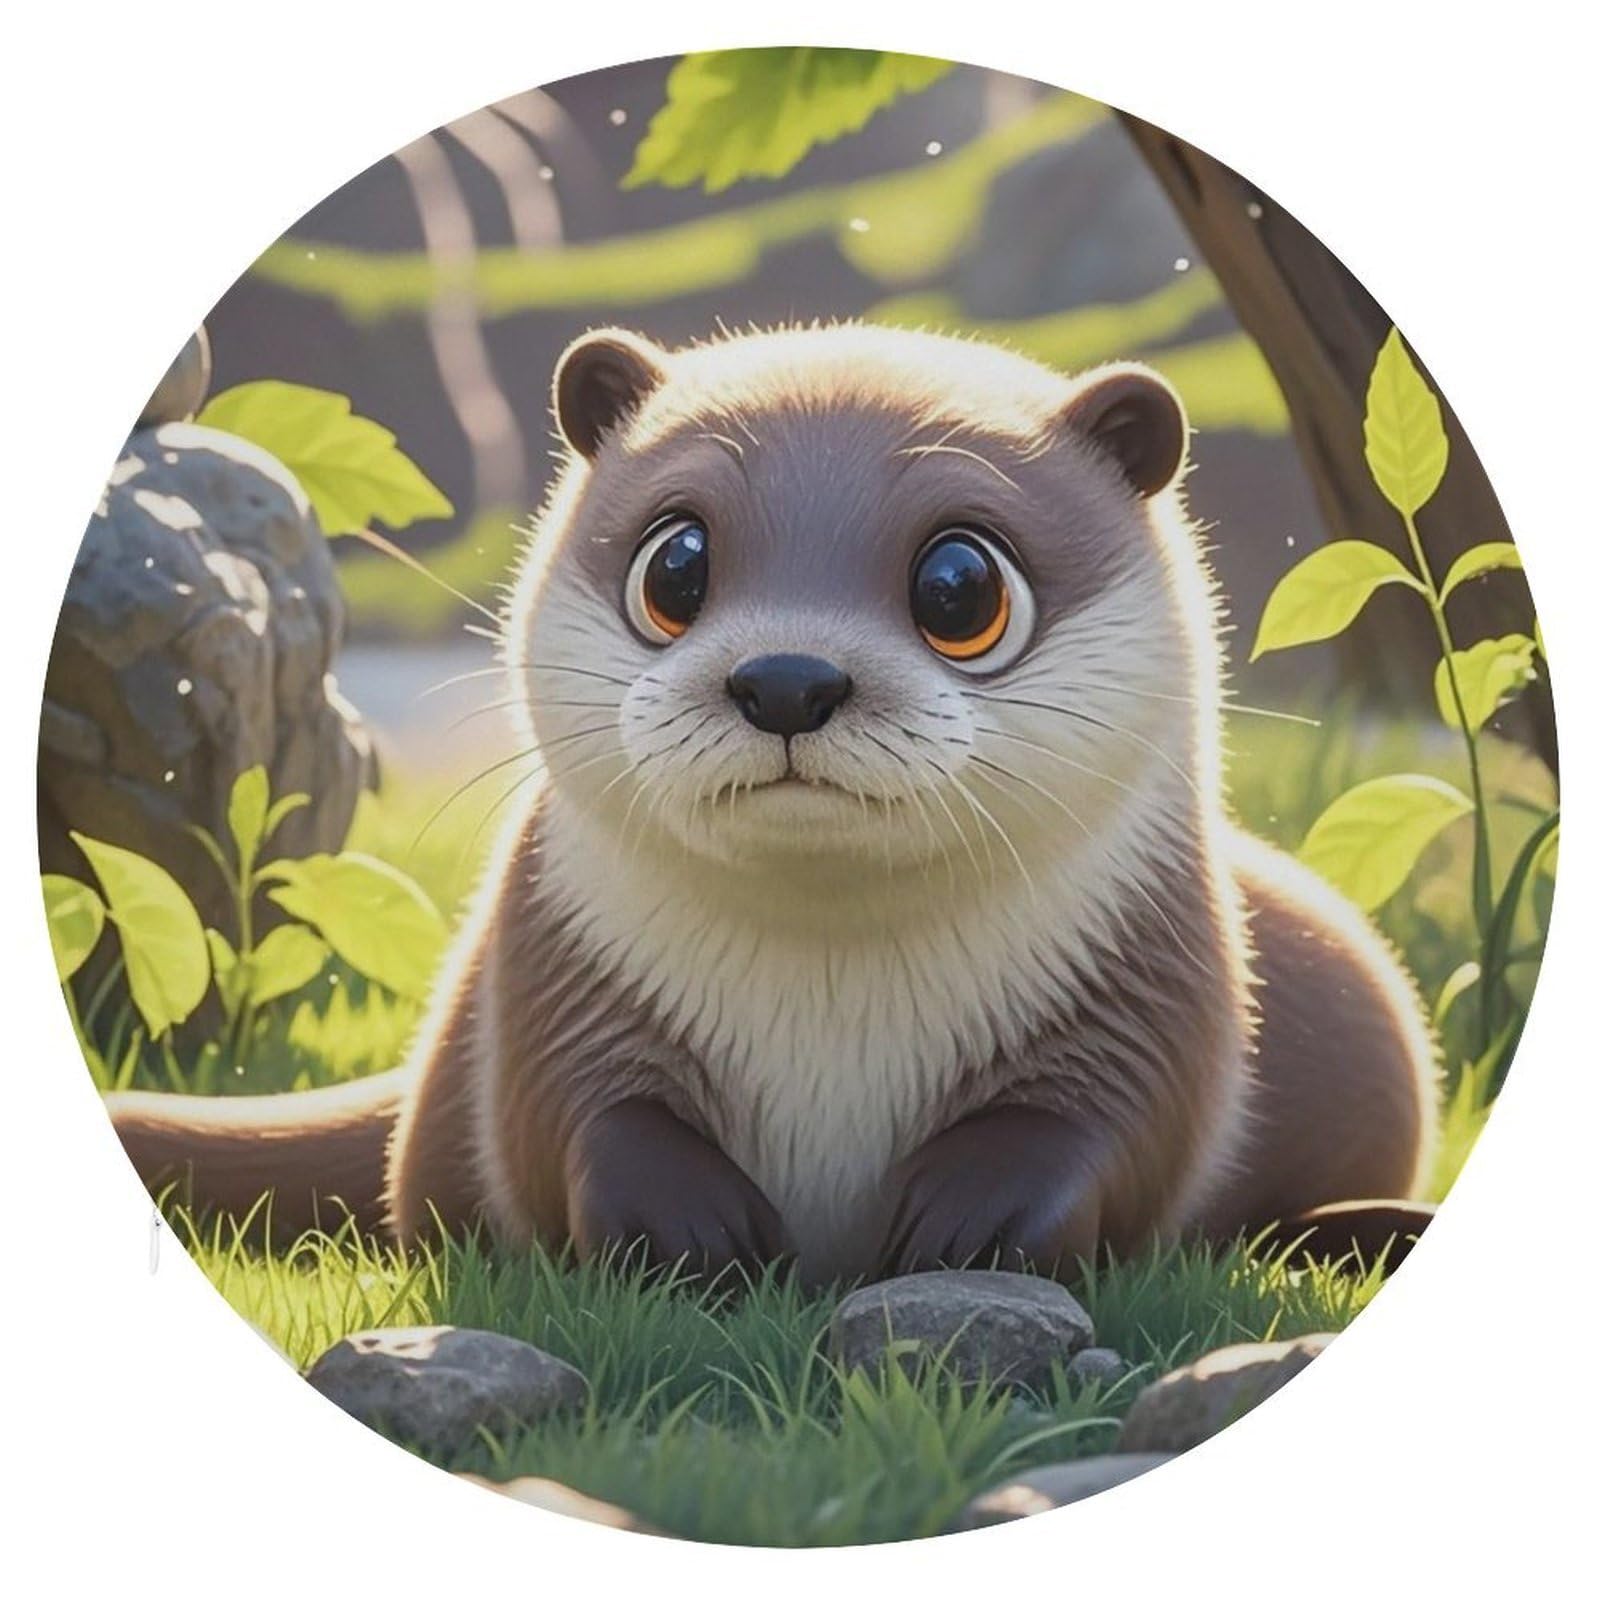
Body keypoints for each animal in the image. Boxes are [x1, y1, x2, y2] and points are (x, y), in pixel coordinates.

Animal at [106, 324, 1438, 1282]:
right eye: (676, 565)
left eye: (960, 585)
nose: (788, 679)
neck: (833, 1013)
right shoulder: (547, 975)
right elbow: (571, 1113)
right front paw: (695, 1230)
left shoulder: (1149, 977)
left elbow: (1114, 1119)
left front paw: (964, 1224)